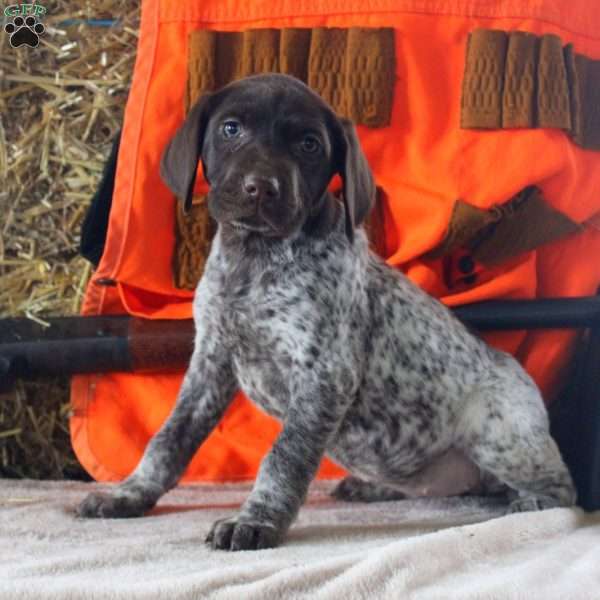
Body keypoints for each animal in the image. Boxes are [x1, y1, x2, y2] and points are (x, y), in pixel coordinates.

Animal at [77, 72, 576, 552]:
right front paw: (130, 493)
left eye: (309, 144)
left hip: (501, 436)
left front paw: (256, 521)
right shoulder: (211, 362)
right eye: (230, 129)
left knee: (562, 488)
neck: (254, 259)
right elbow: (170, 438)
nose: (261, 188)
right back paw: (375, 487)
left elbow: (283, 457)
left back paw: (531, 503)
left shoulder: (324, 375)